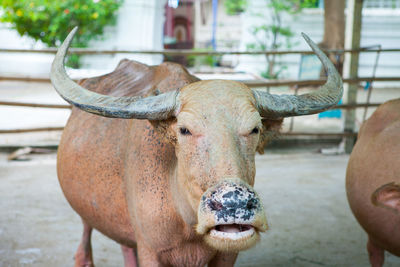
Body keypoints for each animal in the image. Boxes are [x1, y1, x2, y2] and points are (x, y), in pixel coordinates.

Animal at [51, 27, 342, 267]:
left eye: (255, 128)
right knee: (84, 245)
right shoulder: (152, 251)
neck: (186, 221)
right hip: (84, 211)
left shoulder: (226, 256)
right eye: (184, 130)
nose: (233, 204)